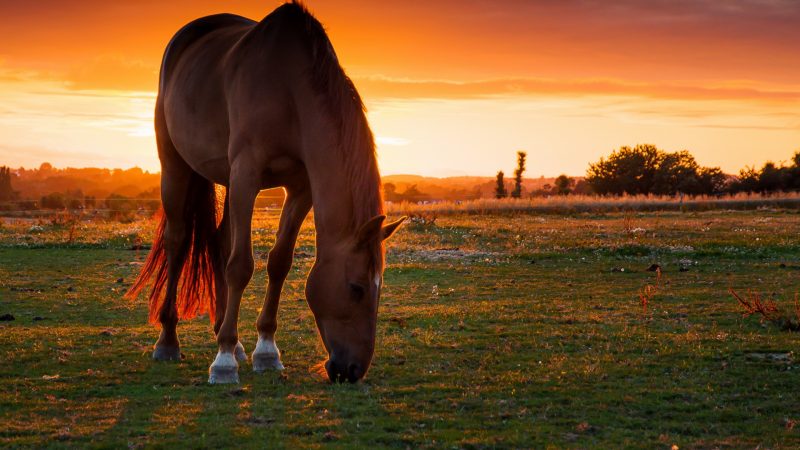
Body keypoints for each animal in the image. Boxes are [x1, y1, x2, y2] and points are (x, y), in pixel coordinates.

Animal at [129, 1, 410, 384]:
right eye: (357, 288)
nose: (353, 370)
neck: (290, 90)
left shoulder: (300, 188)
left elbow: (279, 262)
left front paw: (265, 350)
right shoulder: (247, 174)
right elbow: (240, 266)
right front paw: (223, 363)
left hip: (227, 179)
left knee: (220, 241)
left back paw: (230, 339)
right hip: (176, 166)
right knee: (178, 241)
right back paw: (170, 341)